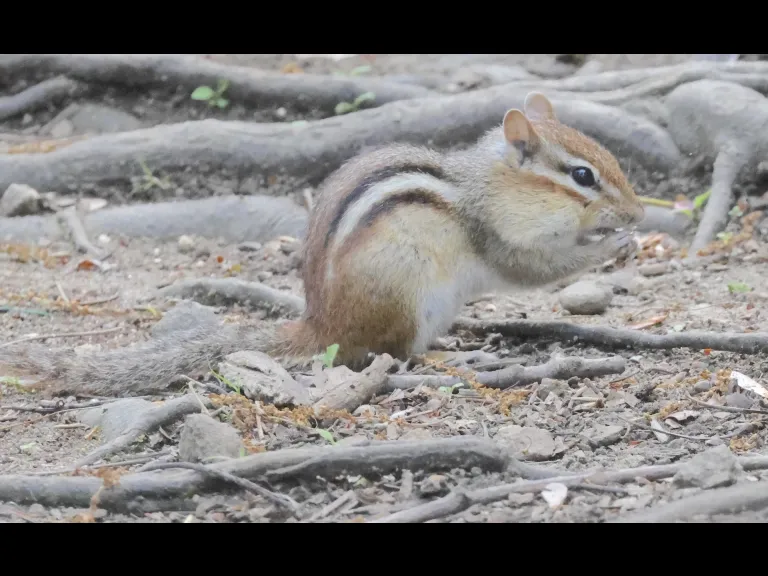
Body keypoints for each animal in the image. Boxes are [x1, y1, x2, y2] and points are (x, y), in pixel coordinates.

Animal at [0, 92, 644, 396]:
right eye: (582, 176)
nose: (638, 211)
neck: (486, 184)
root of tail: (322, 324)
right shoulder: (496, 234)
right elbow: (532, 269)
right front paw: (613, 245)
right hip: (406, 292)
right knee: (394, 353)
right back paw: (455, 356)